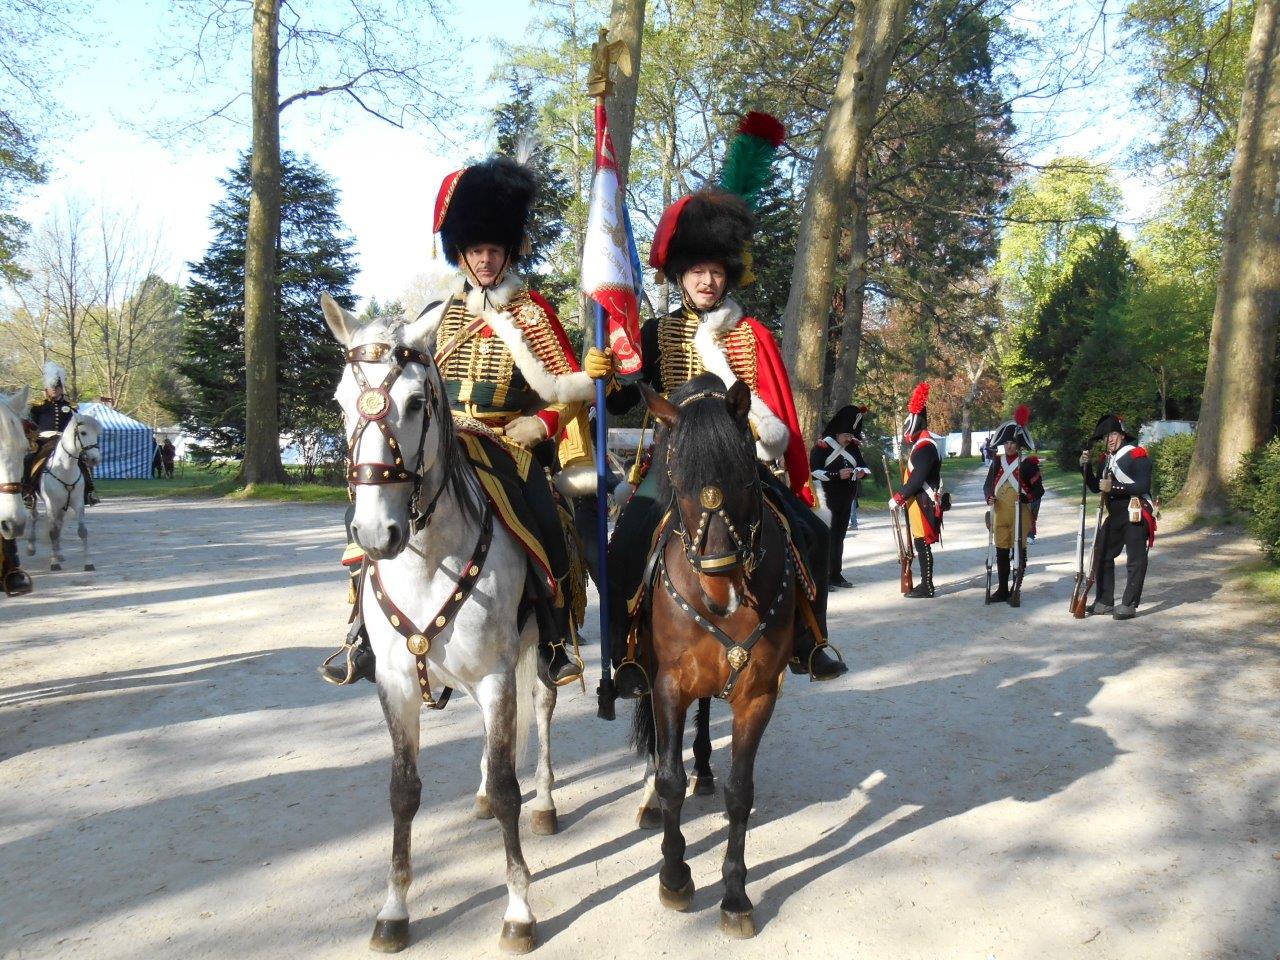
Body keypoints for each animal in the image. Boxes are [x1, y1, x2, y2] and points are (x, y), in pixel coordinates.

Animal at [26, 412, 100, 570]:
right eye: (83, 433)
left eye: (98, 434)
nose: (95, 459)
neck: (65, 468)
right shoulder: (51, 504)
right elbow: (52, 531)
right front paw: (54, 563)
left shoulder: (77, 503)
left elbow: (82, 531)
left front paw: (88, 563)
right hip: (34, 499)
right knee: (34, 517)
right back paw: (31, 547)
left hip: (62, 506)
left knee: (59, 523)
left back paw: (59, 553)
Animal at [322, 296, 558, 957]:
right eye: (341, 401)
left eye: (415, 402)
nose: (375, 534)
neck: (428, 560)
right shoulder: (397, 682)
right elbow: (403, 791)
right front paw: (394, 908)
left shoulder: (498, 676)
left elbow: (507, 787)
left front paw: (520, 909)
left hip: (542, 655)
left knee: (542, 712)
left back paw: (546, 801)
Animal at [629, 376, 798, 942]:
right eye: (677, 478)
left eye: (746, 477)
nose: (718, 592)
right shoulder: (668, 685)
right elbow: (669, 778)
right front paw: (675, 876)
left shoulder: (758, 693)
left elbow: (740, 793)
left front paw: (735, 895)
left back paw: (704, 766)